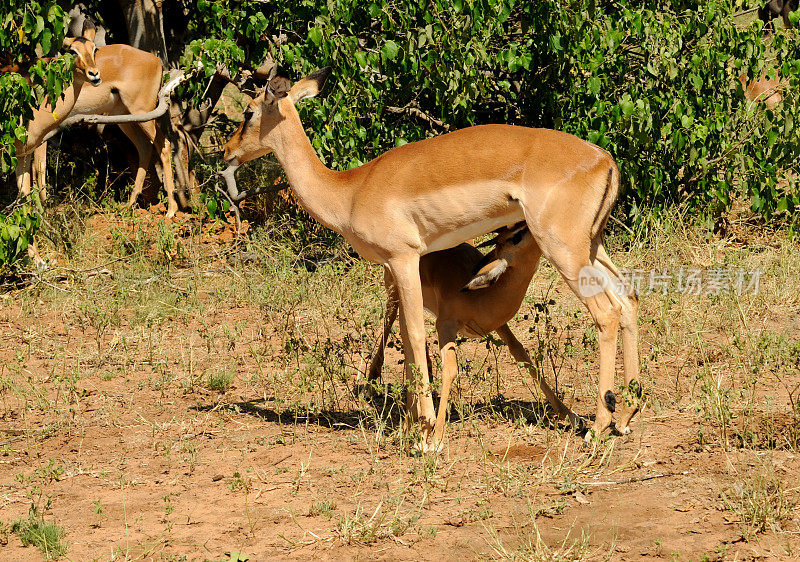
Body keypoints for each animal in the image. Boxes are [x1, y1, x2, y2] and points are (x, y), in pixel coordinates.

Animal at [222, 66, 640, 450]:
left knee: (606, 312)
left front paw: (426, 436)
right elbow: (408, 341)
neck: (351, 190)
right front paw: (411, 427)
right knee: (628, 298)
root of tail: (605, 160)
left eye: (248, 111)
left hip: (563, 249)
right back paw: (626, 415)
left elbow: (416, 335)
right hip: (591, 246)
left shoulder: (403, 259)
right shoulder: (394, 268)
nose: (226, 151)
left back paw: (598, 427)